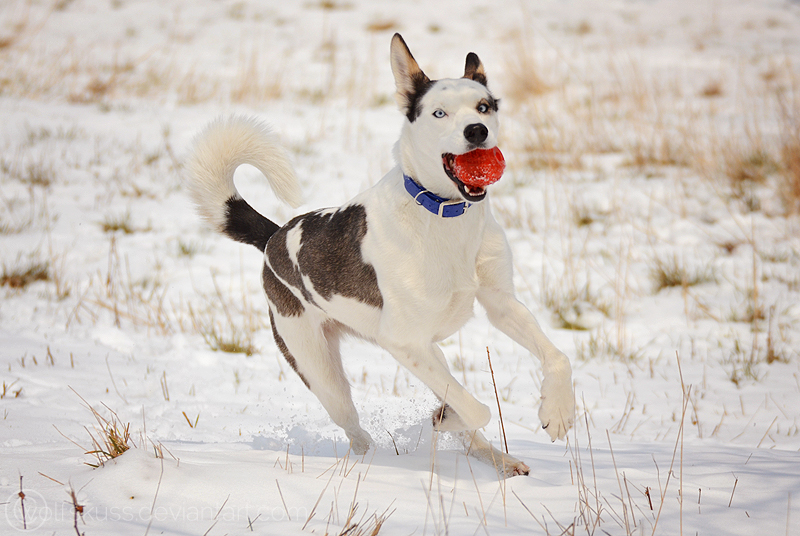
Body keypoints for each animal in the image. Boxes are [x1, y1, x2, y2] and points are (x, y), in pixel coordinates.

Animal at [186, 33, 576, 478]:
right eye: (439, 112)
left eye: (484, 106)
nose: (477, 131)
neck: (443, 213)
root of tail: (274, 237)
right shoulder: (402, 341)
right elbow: (476, 409)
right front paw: (444, 418)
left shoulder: (499, 304)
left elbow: (557, 357)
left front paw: (558, 412)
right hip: (319, 368)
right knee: (356, 428)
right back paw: (374, 458)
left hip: (425, 352)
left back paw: (499, 459)